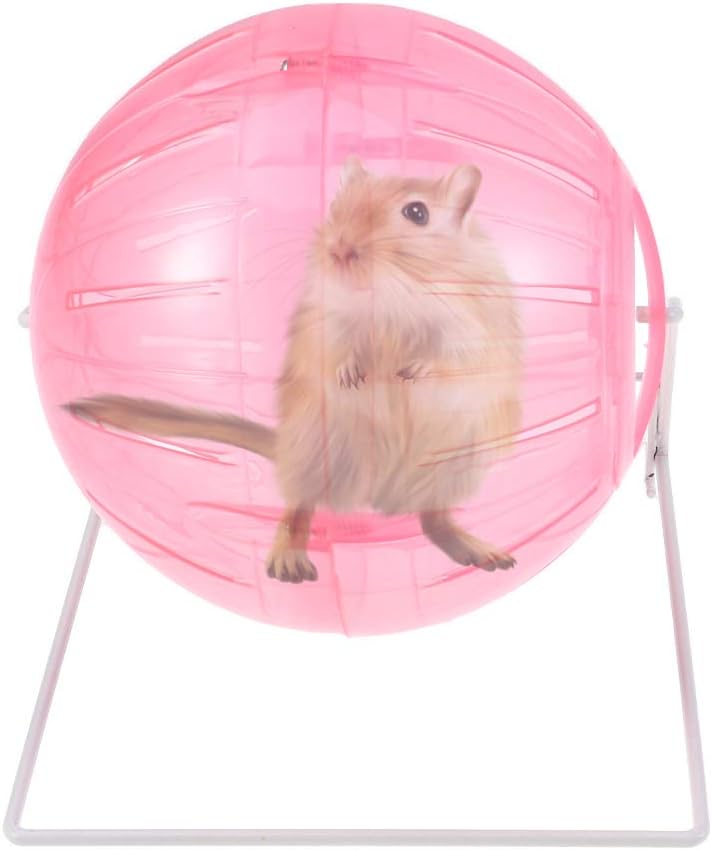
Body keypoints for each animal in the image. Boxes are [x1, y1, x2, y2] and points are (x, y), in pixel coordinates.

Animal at [66, 157, 522, 583]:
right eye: (336, 205)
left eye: (417, 213)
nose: (338, 250)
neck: (392, 294)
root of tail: (378, 495)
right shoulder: (325, 319)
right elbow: (334, 350)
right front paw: (352, 376)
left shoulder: (473, 325)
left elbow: (456, 358)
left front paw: (411, 371)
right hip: (316, 449)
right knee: (298, 509)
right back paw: (289, 560)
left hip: (452, 466)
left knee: (433, 520)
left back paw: (483, 551)